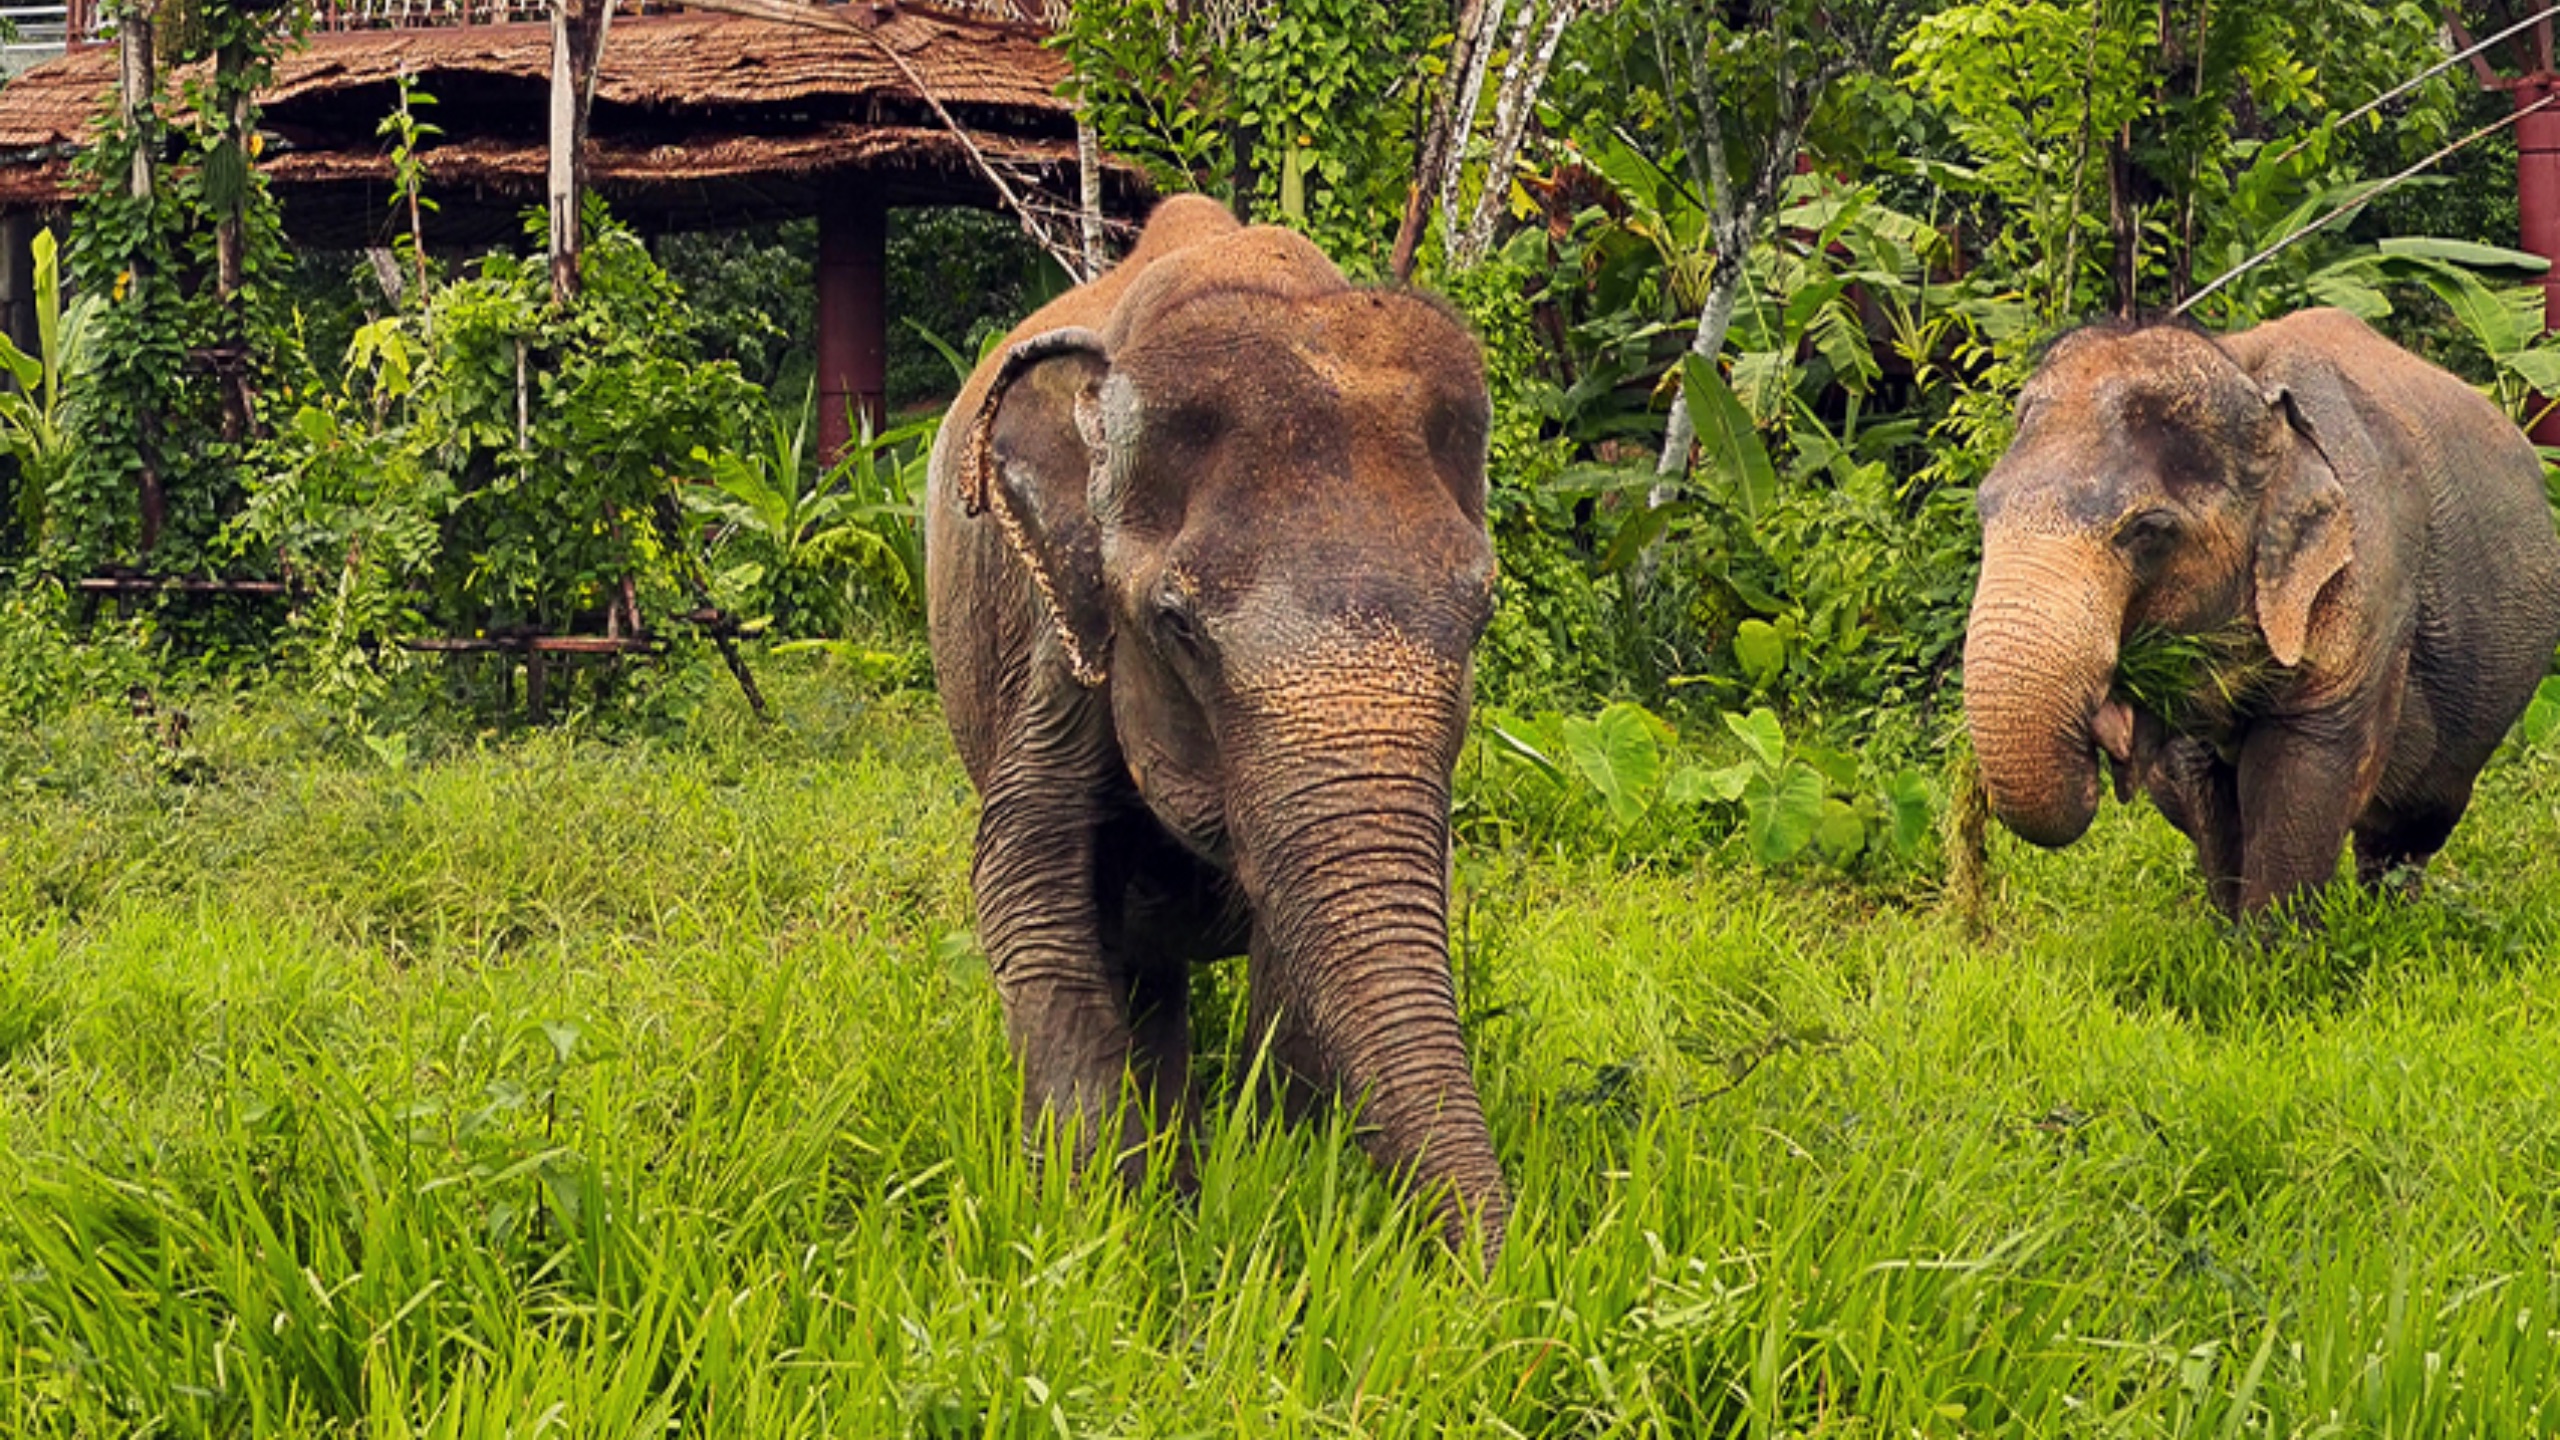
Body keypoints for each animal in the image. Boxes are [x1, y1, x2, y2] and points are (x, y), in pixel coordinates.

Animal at [926, 193, 1505, 1255]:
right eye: (1176, 625)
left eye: (1482, 611)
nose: (1508, 1270)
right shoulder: (1062, 643)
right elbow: (1025, 880)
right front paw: (1110, 1225)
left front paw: (1271, 1169)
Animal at [1955, 308, 2560, 912]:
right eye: (1983, 508)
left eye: (2147, 530)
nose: (2102, 721)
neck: (2246, 374)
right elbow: (2201, 780)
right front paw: (2227, 930)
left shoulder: (2369, 574)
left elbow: (2303, 774)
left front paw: (2275, 938)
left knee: (2414, 820)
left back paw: (2387, 916)